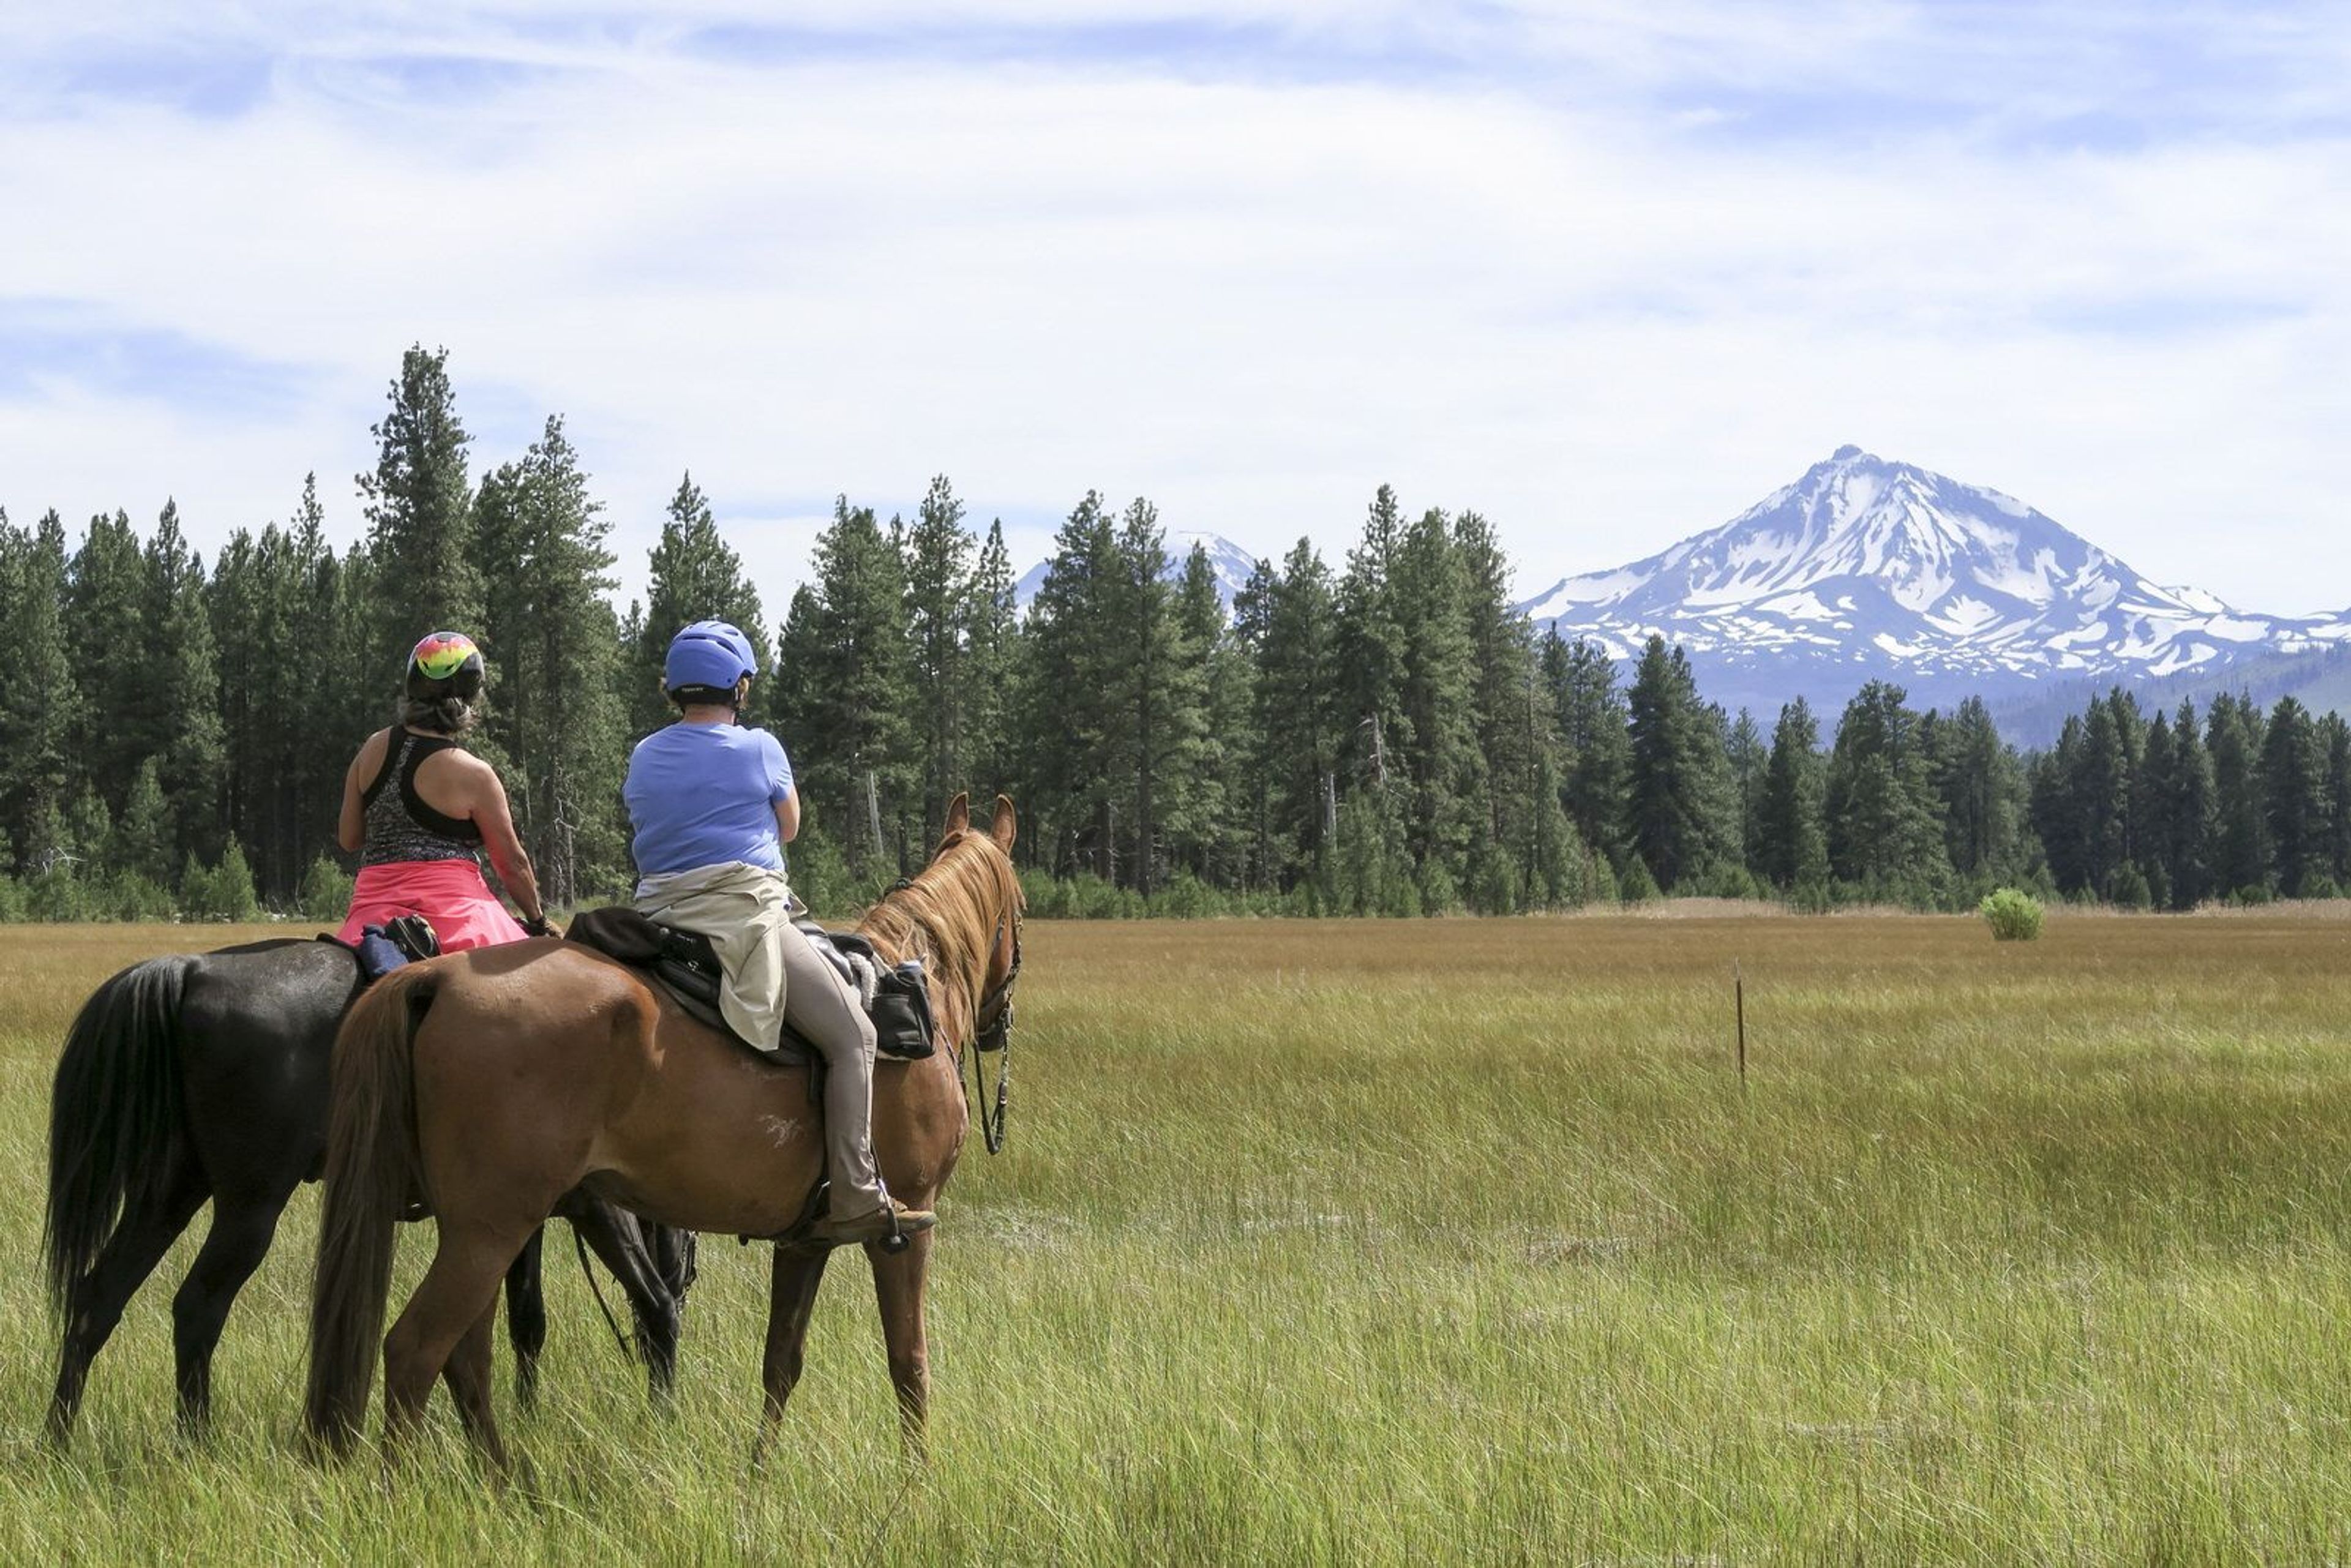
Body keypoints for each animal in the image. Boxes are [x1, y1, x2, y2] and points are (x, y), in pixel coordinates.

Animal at [45, 940, 691, 1438]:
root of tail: (191, 969)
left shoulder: (510, 1220)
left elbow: (527, 1319)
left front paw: (525, 1415)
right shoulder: (591, 1207)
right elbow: (651, 1305)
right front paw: (659, 1417)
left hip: (172, 1191)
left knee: (98, 1297)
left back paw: (60, 1438)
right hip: (250, 1204)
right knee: (199, 1306)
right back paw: (195, 1441)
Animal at [303, 799, 1020, 1476]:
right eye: (1019, 908)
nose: (996, 1022)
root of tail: (438, 976)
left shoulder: (805, 1238)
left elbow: (781, 1360)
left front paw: (758, 1474)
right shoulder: (907, 1224)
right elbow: (909, 1361)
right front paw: (917, 1480)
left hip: (481, 1234)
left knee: (466, 1357)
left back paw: (506, 1483)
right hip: (491, 1230)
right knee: (414, 1349)